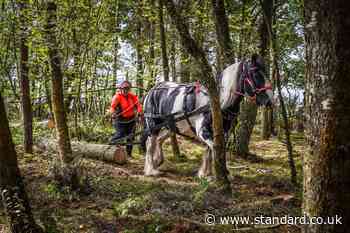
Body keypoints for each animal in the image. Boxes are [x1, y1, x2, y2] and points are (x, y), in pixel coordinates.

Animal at [142, 54, 274, 177]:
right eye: (255, 74)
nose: (270, 101)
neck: (217, 102)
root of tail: (153, 89)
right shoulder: (203, 131)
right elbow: (216, 149)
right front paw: (223, 173)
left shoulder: (221, 131)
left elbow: (211, 150)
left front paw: (206, 173)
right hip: (153, 125)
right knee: (150, 143)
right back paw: (151, 170)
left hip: (171, 126)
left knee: (159, 140)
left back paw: (157, 161)